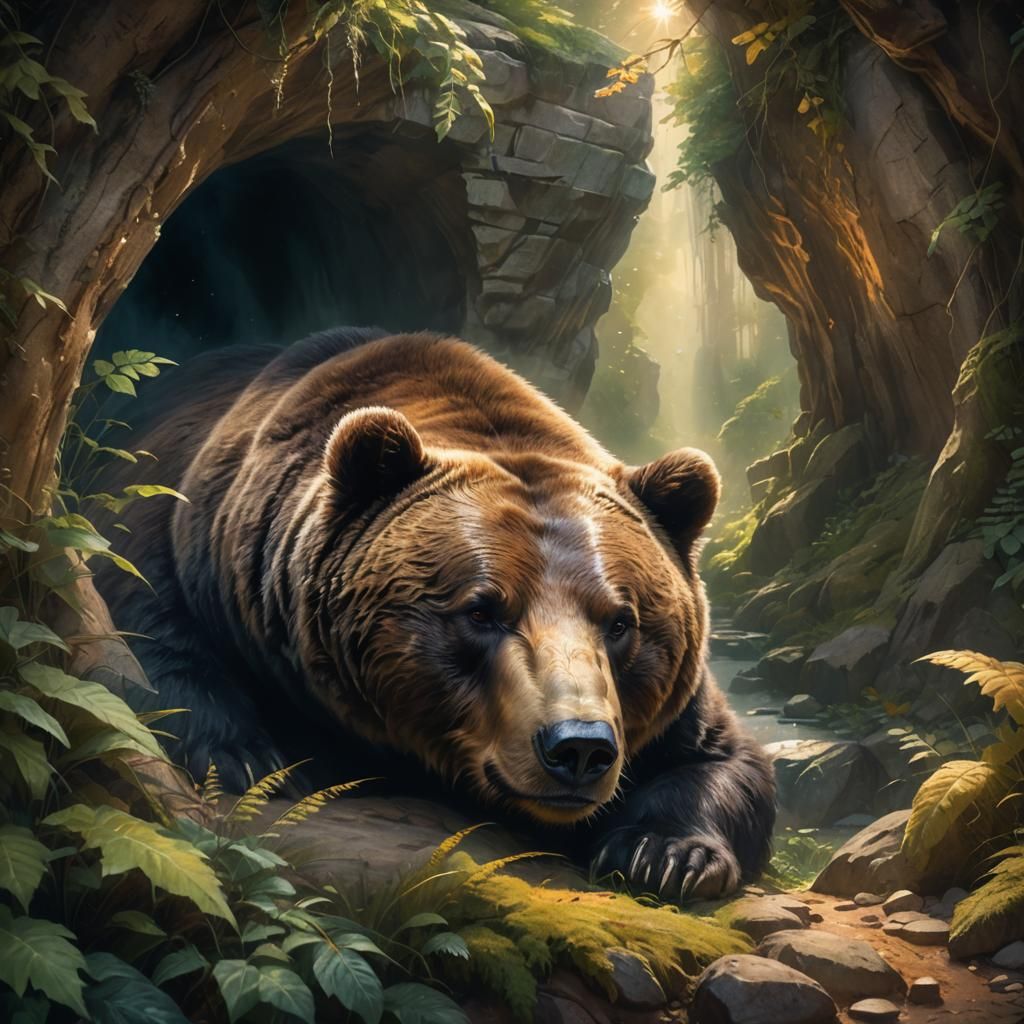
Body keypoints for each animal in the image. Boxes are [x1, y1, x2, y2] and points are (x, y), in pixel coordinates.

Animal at [95, 327, 776, 901]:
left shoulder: (675, 708)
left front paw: (665, 854)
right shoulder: (187, 540)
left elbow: (722, 760)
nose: (578, 748)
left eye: (620, 622)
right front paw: (248, 757)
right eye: (482, 611)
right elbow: (151, 651)